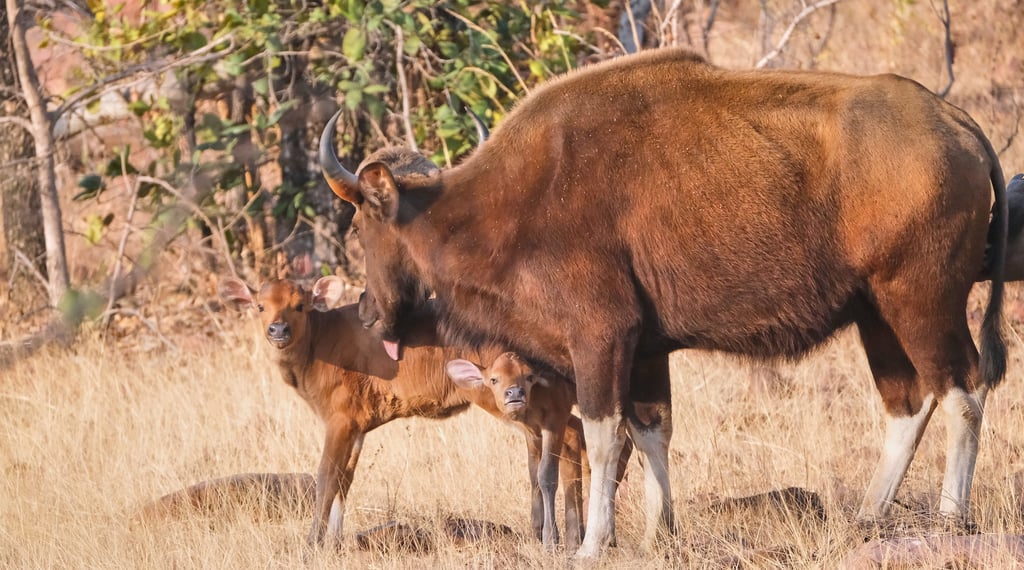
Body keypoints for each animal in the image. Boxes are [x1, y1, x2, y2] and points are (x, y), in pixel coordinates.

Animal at [217, 276, 600, 549]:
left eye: (300, 306)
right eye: (260, 306)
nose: (278, 330)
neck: (318, 349)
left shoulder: (339, 419)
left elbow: (326, 476)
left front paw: (312, 543)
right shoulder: (358, 426)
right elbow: (345, 479)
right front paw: (335, 542)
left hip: (509, 397)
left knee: (569, 436)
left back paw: (565, 537)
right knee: (574, 436)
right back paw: (572, 535)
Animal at [318, 47, 1008, 558]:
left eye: (358, 224)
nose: (369, 313)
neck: (507, 201)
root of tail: (955, 122)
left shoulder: (600, 338)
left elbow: (602, 436)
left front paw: (593, 543)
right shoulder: (647, 350)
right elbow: (652, 432)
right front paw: (659, 533)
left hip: (922, 300)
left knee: (963, 389)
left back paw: (952, 515)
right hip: (876, 314)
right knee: (909, 402)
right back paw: (867, 516)